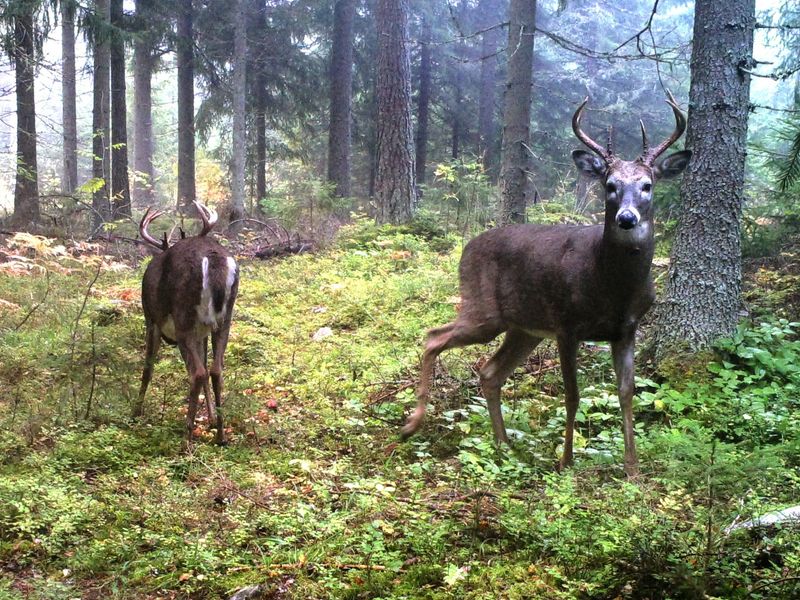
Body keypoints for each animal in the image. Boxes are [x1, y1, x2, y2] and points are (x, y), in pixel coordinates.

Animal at [133, 203, 239, 446]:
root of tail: (213, 259)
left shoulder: (151, 318)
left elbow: (147, 369)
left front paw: (135, 413)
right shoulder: (202, 332)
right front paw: (210, 418)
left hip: (183, 318)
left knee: (197, 372)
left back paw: (186, 440)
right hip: (224, 319)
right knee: (215, 369)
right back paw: (220, 435)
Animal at [404, 91, 692, 476]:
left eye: (647, 186)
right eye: (610, 185)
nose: (627, 218)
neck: (611, 285)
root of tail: (467, 247)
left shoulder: (627, 328)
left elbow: (626, 391)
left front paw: (632, 466)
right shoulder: (567, 325)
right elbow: (572, 395)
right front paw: (566, 460)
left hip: (523, 328)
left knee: (490, 372)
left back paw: (504, 445)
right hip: (483, 310)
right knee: (433, 337)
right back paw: (412, 425)